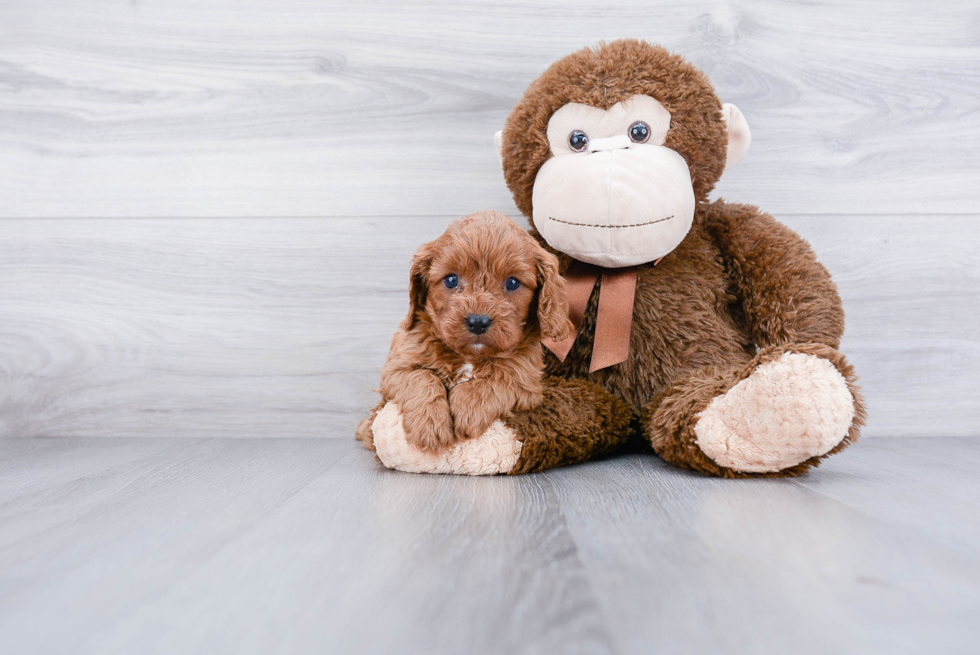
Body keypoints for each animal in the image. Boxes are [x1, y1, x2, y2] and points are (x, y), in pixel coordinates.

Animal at [358, 213, 576, 454]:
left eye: (512, 282)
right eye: (451, 280)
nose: (478, 322)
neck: (469, 356)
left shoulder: (527, 381)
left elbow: (500, 378)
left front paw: (468, 409)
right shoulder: (396, 367)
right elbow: (421, 377)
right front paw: (429, 426)